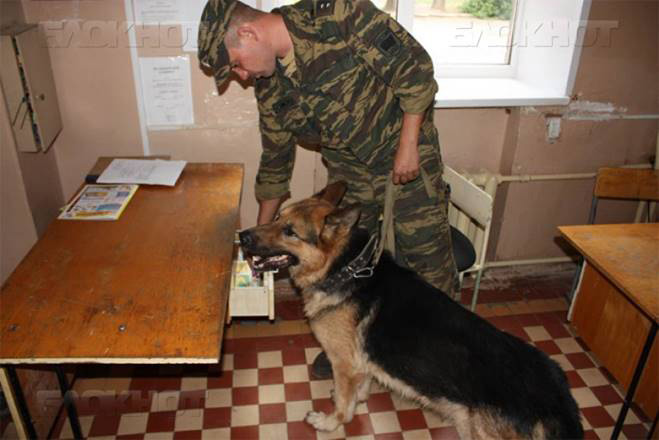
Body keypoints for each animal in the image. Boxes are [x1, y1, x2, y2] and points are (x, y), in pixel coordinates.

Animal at [237, 180, 584, 438]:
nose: (243, 235)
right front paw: (357, 398)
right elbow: (360, 387)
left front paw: (330, 422)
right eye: (277, 217)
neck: (346, 269)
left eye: (290, 231)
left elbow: (344, 407)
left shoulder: (344, 363)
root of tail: (557, 399)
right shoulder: (359, 361)